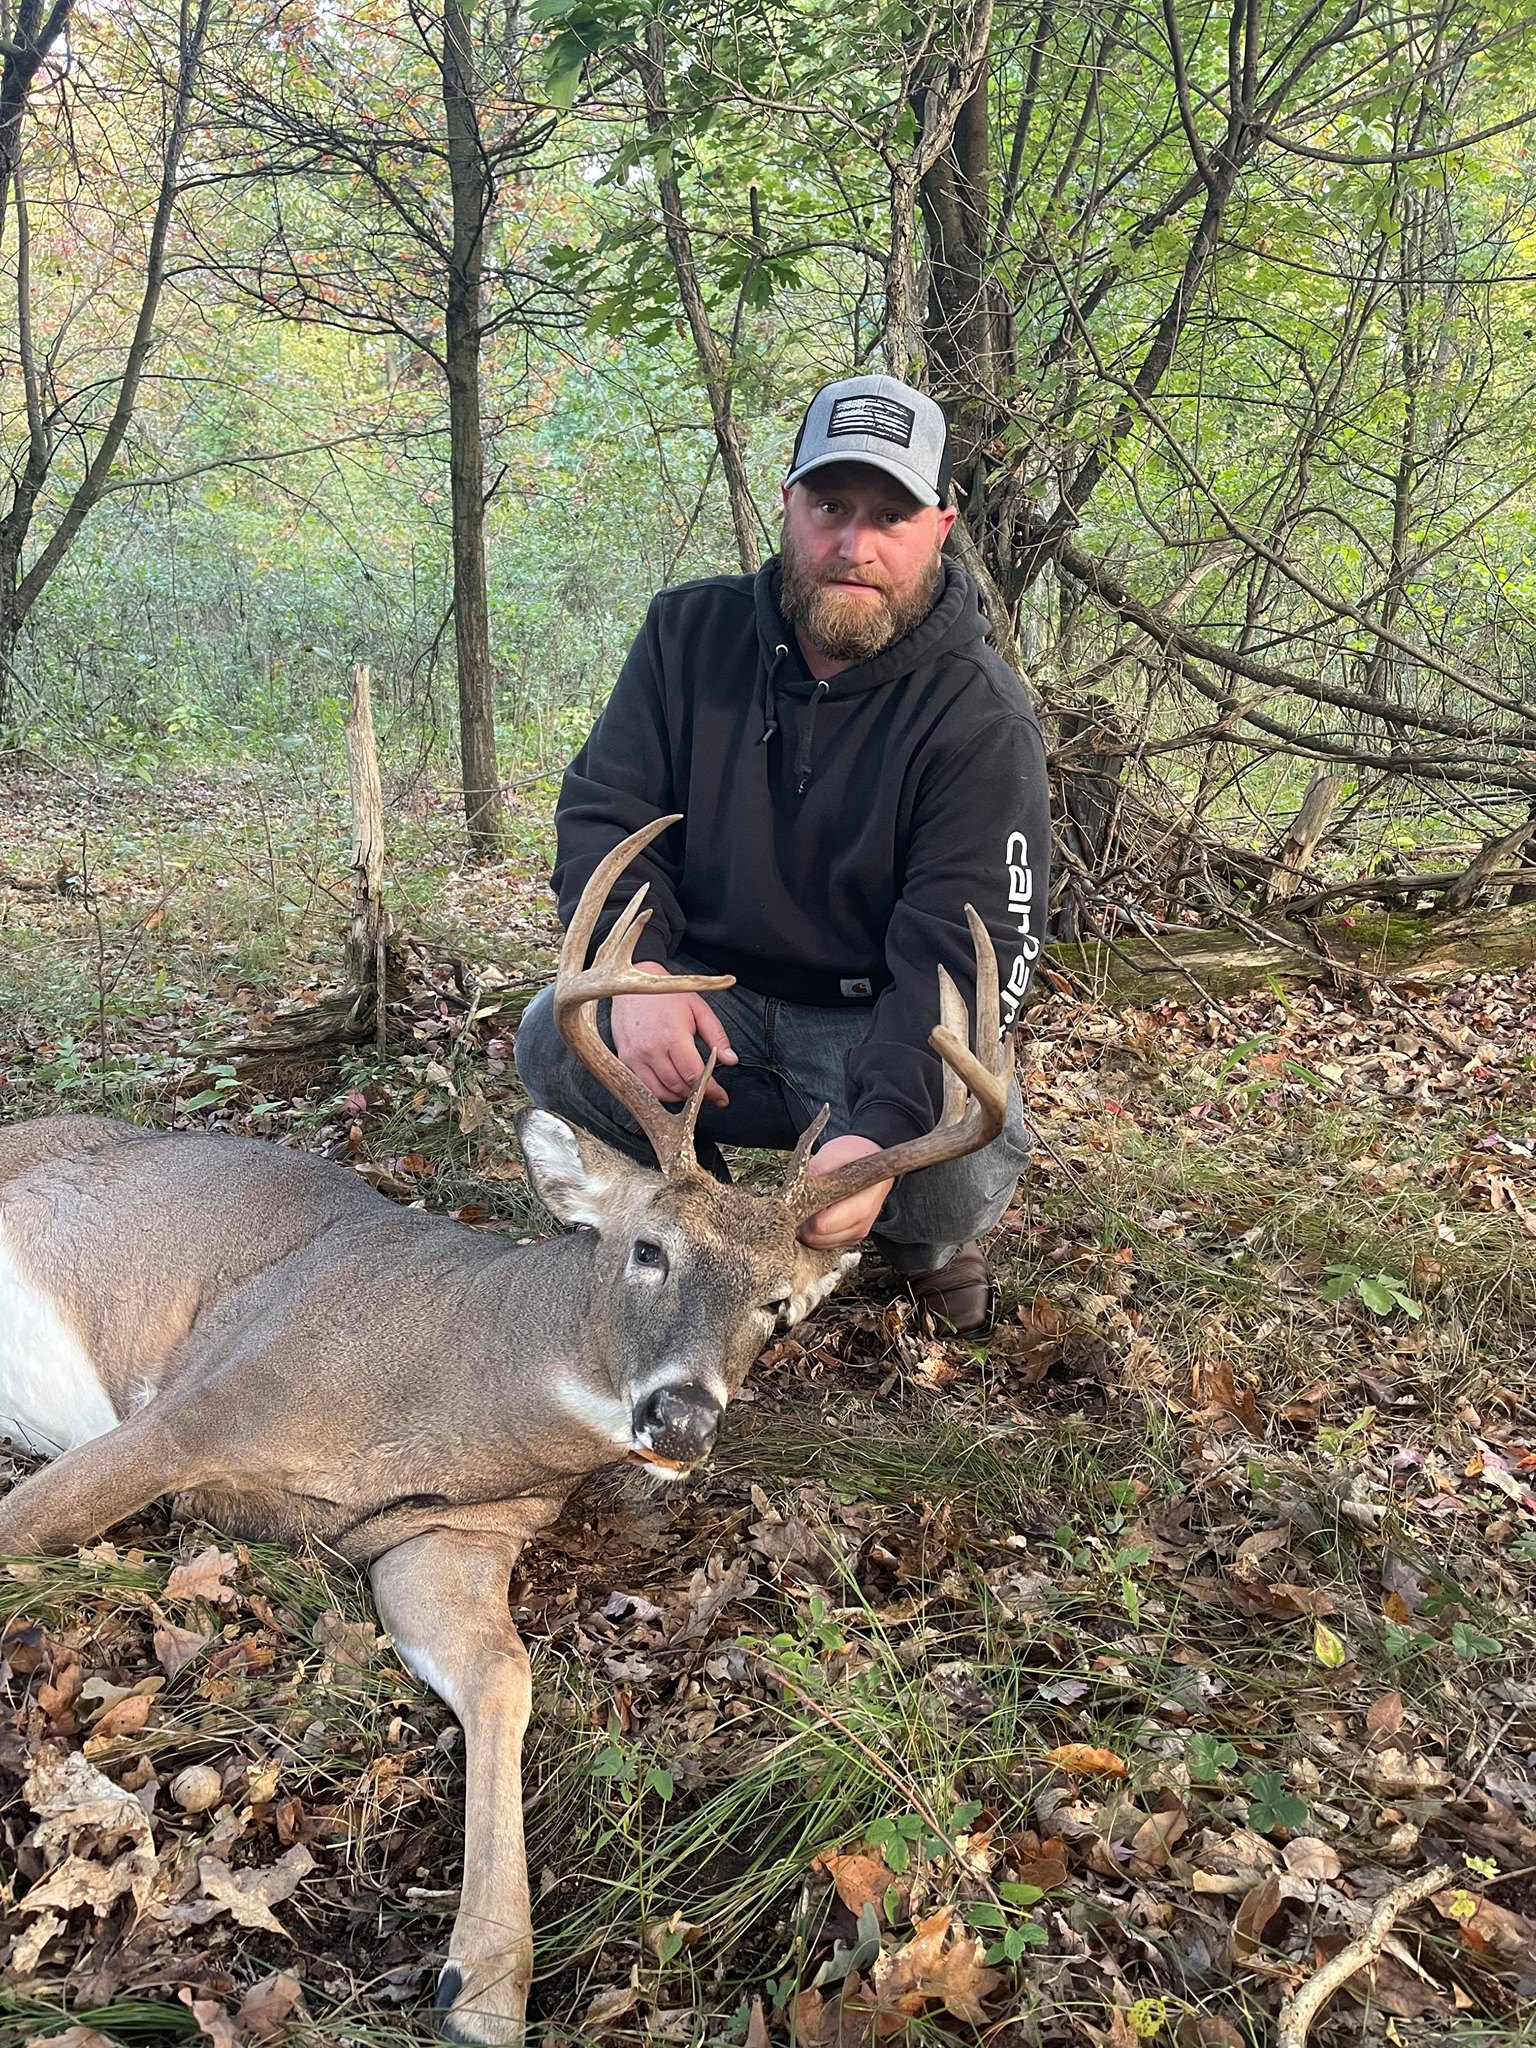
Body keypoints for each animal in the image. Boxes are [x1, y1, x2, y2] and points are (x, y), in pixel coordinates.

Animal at [0, 814, 1014, 2044]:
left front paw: (483, 1978)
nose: (682, 1414)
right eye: (648, 1248)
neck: (443, 1388)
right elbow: (24, 1529)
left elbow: (504, 1676)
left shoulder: (445, 1536)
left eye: (776, 1306)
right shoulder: (198, 1396)